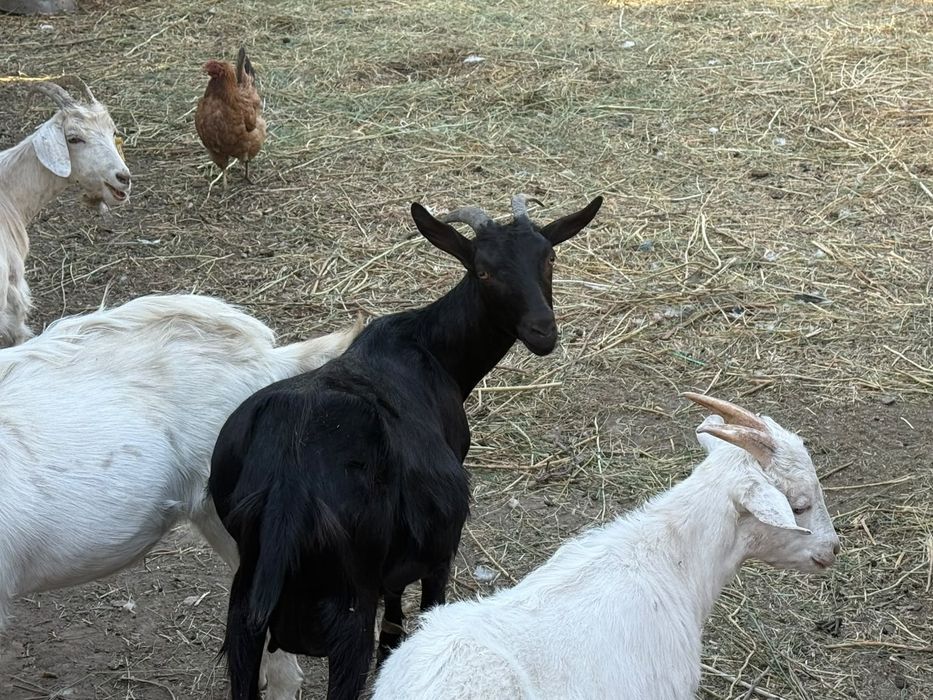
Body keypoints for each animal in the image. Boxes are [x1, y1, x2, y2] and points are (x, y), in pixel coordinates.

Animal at [208, 194, 604, 700]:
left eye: (548, 257)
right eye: (483, 271)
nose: (542, 332)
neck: (432, 349)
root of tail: (287, 487)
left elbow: (394, 616)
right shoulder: (438, 553)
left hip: (244, 610)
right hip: (348, 612)